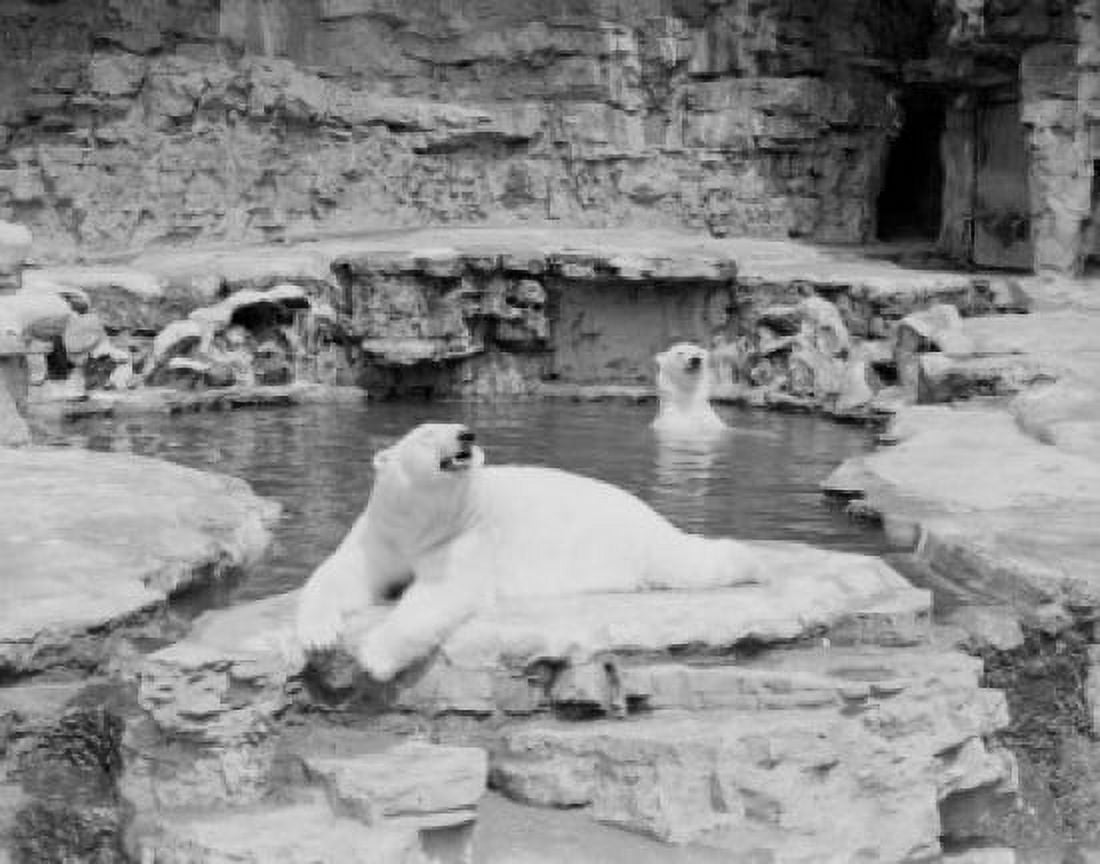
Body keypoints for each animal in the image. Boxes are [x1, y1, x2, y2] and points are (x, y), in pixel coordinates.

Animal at [295, 422, 762, 682]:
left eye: (459, 428)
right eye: (427, 433)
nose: (467, 434)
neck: (424, 522)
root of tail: (647, 511)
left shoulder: (467, 536)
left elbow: (441, 594)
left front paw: (374, 658)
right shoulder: (382, 531)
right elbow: (343, 574)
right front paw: (316, 633)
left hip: (638, 543)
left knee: (692, 563)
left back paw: (751, 561)